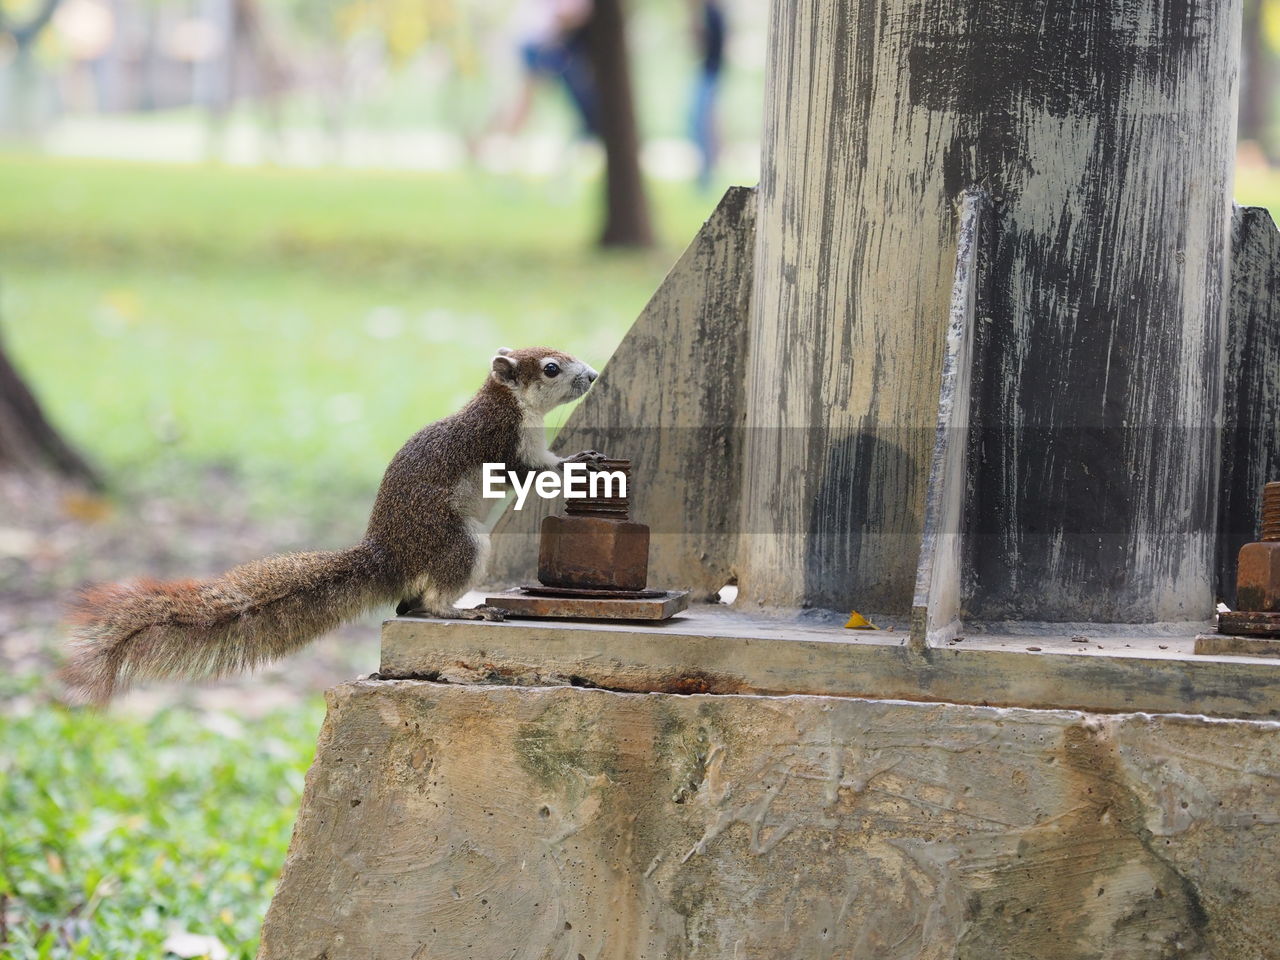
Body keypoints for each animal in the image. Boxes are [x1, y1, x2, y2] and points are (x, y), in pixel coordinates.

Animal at [67, 345, 606, 706]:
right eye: (551, 367)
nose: (593, 375)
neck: (512, 405)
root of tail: (390, 555)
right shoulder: (503, 443)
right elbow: (535, 469)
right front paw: (578, 460)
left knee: (410, 605)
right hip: (460, 543)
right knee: (431, 601)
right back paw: (465, 612)